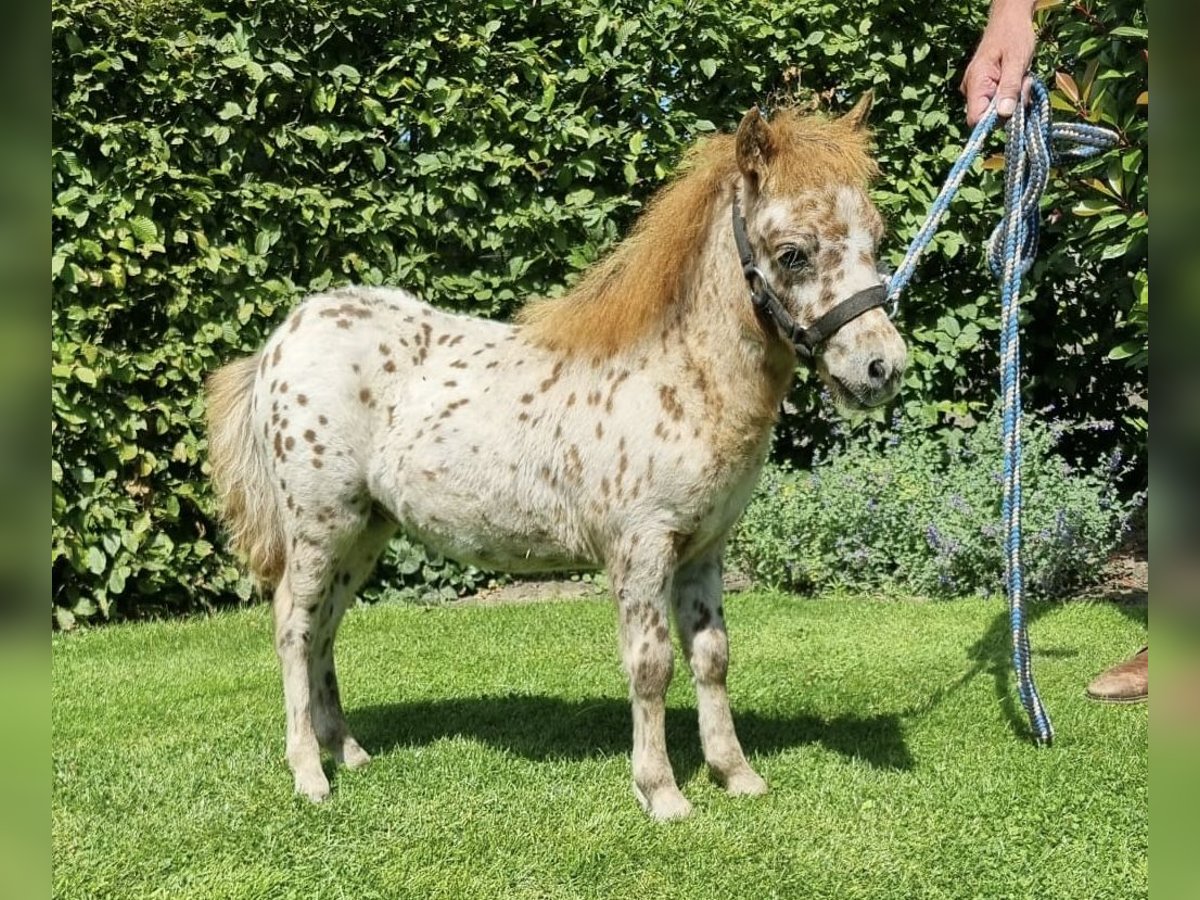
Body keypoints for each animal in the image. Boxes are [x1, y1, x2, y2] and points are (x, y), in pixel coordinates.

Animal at [208, 95, 902, 820]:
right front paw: (662, 792)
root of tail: (283, 339)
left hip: (365, 532)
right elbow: (650, 665)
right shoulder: (641, 548)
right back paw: (309, 774)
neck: (676, 375)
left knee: (325, 628)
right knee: (293, 625)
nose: (881, 368)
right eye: (792, 254)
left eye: (876, 239)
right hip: (319, 526)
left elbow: (711, 655)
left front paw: (735, 774)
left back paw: (347, 752)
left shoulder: (703, 550)